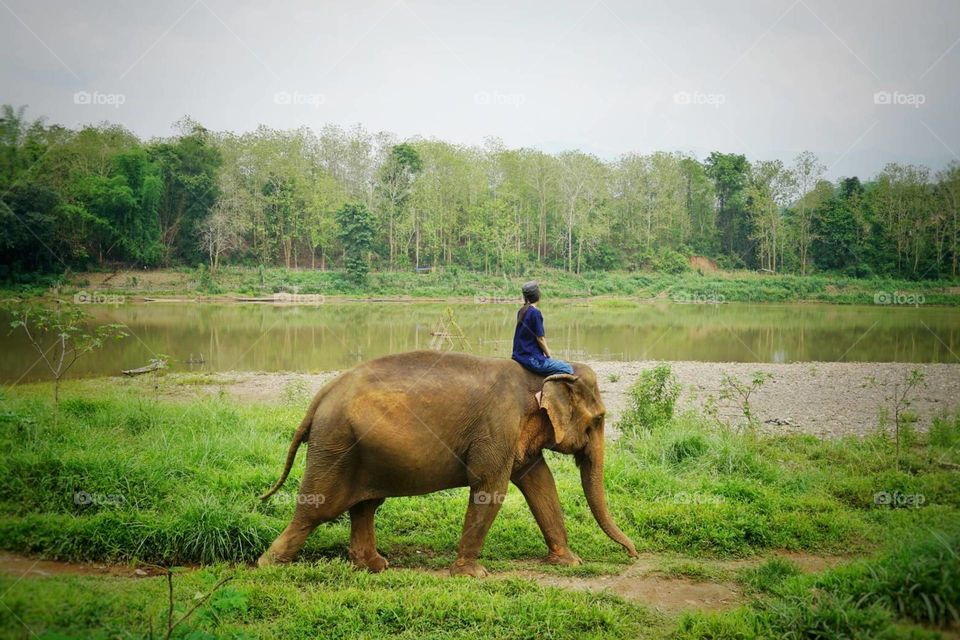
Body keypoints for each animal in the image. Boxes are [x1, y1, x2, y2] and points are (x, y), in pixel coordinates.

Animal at [258, 352, 640, 576]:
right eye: (598, 420)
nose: (633, 554)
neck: (537, 376)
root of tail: (320, 396)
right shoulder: (496, 427)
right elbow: (490, 489)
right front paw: (472, 574)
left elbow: (541, 485)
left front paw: (569, 562)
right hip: (335, 445)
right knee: (316, 509)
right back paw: (268, 568)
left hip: (357, 449)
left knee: (365, 506)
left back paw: (374, 566)